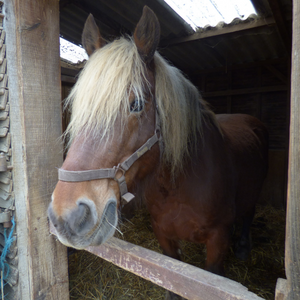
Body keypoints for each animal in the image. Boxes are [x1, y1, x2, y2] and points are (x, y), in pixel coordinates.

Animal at [48, 5, 268, 298]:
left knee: (249, 212)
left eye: (137, 104)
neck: (179, 186)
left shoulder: (217, 245)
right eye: (78, 107)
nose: (66, 217)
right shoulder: (165, 239)